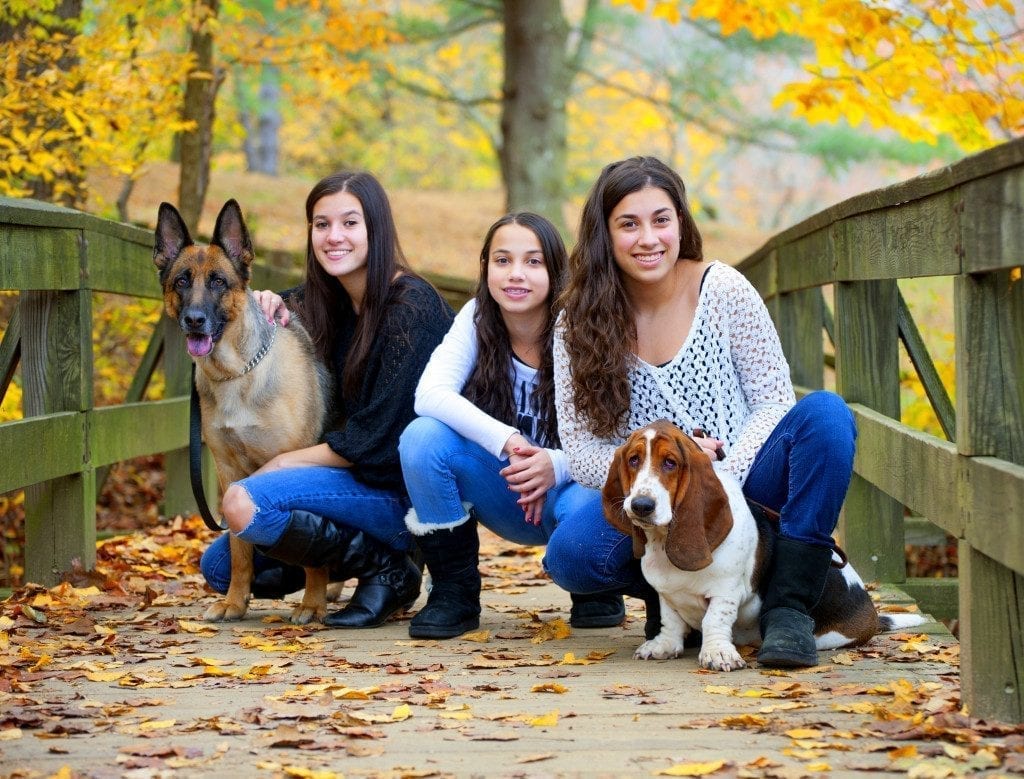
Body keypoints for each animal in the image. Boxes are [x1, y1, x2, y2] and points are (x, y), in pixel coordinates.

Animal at [151, 201, 331, 626]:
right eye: (181, 282)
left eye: (218, 282)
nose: (194, 320)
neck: (236, 373)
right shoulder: (229, 475)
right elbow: (239, 549)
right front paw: (235, 601)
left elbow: (313, 556)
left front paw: (312, 602)